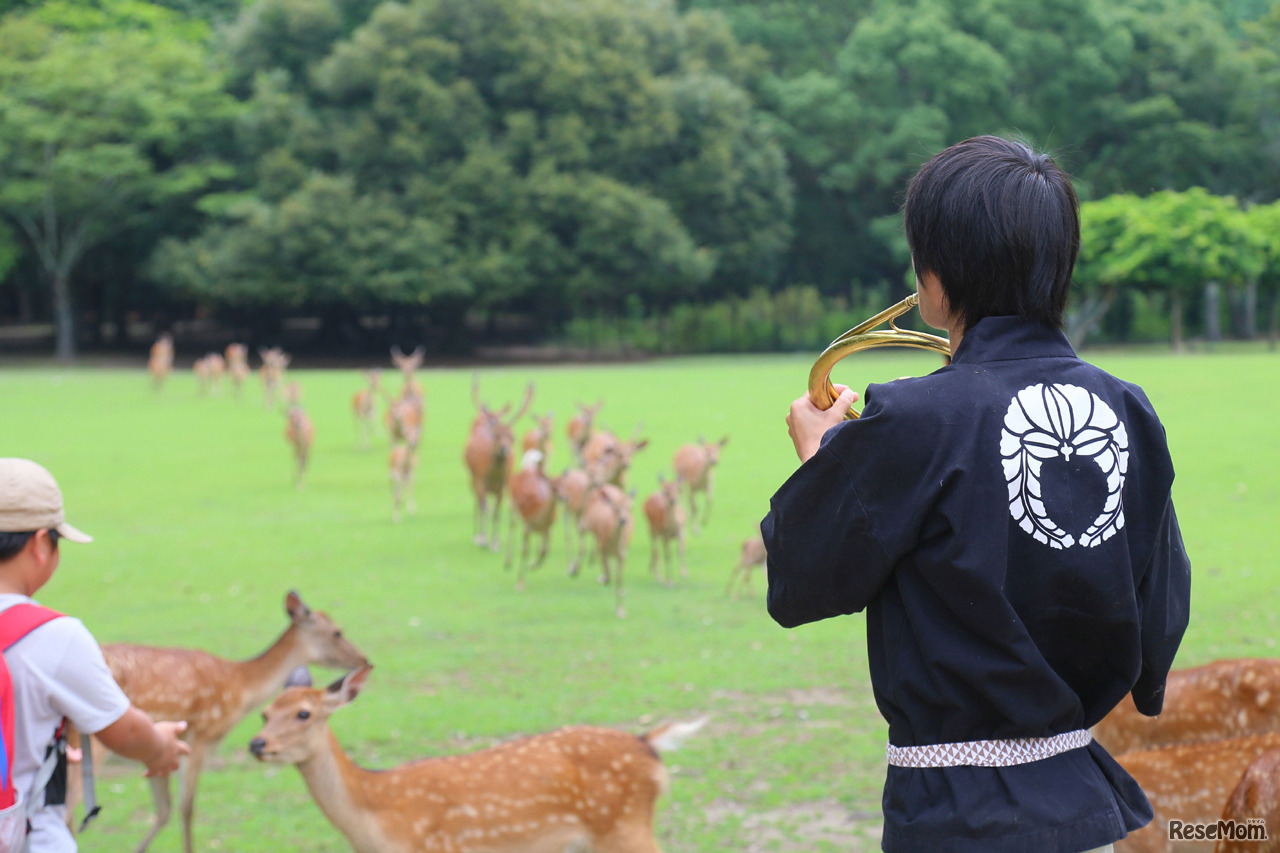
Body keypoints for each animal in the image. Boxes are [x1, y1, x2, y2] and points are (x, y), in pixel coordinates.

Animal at [95, 590, 369, 853]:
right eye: (337, 632)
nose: (365, 659)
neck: (239, 688)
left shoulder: (161, 749)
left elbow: (164, 811)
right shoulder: (201, 734)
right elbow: (186, 808)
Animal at [250, 665, 707, 853]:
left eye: (304, 713)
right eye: (264, 712)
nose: (257, 744)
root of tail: (648, 744)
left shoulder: (438, 849)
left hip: (625, 827)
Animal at [464, 377, 533, 551]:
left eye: (512, 437)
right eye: (496, 435)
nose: (504, 449)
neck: (493, 477)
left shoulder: (503, 485)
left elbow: (496, 512)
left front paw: (495, 543)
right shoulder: (480, 480)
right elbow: (483, 507)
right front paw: (482, 539)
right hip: (471, 476)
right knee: (477, 502)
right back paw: (476, 535)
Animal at [505, 449, 563, 590]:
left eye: (566, 485)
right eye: (553, 487)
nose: (563, 497)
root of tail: (529, 468)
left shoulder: (548, 529)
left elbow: (545, 551)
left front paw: (533, 566)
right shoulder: (527, 525)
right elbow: (525, 551)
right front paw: (520, 583)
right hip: (512, 504)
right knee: (512, 526)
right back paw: (507, 562)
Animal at [580, 483, 635, 618]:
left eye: (628, 508)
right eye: (615, 509)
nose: (623, 520)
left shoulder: (623, 555)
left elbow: (618, 579)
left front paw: (620, 611)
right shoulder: (603, 550)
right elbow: (609, 575)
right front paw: (601, 579)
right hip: (585, 520)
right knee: (581, 533)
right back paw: (574, 568)